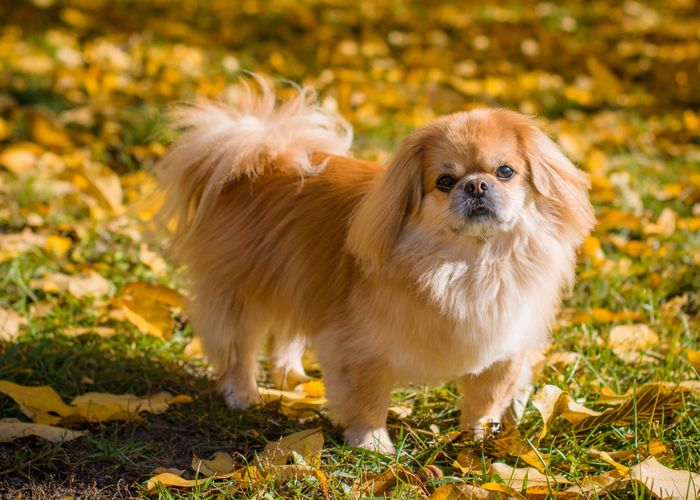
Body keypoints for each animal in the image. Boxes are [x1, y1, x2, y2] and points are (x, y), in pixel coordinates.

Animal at [156, 77, 592, 454]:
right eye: (445, 181)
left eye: (505, 171)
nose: (477, 184)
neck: (469, 265)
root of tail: (268, 161)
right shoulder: (360, 349)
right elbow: (367, 400)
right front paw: (372, 444)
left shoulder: (504, 349)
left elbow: (484, 402)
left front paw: (478, 441)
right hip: (243, 295)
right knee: (239, 349)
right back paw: (243, 395)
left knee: (284, 338)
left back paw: (292, 378)